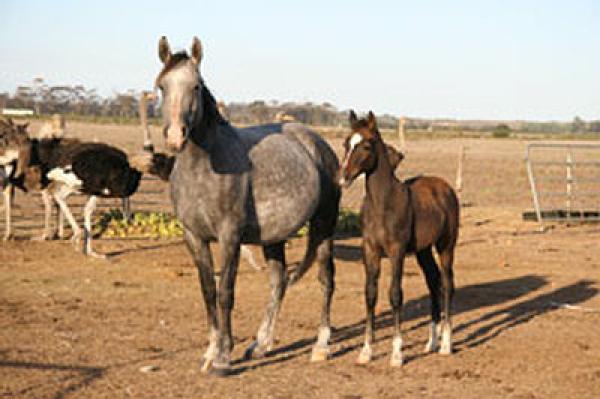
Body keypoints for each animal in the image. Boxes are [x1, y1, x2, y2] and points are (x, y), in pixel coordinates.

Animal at [155, 36, 340, 376]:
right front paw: (210, 351)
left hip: (324, 225)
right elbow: (208, 292)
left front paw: (223, 358)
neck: (205, 167)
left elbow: (226, 292)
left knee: (325, 279)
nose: (175, 136)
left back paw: (321, 346)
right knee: (278, 282)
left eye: (196, 86)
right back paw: (261, 344)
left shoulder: (230, 237)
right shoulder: (193, 236)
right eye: (162, 86)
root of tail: (316, 143)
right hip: (274, 237)